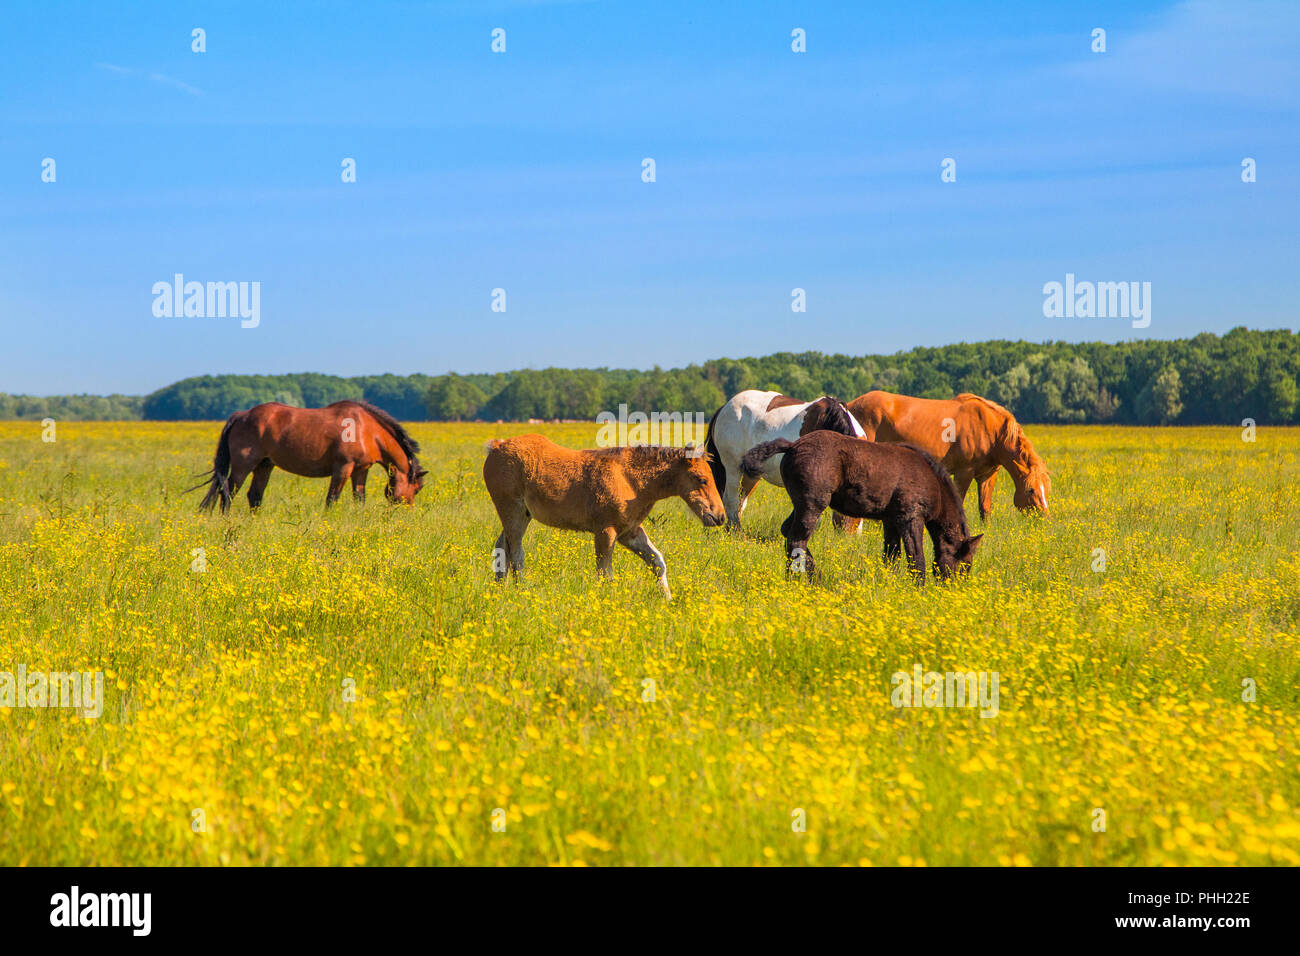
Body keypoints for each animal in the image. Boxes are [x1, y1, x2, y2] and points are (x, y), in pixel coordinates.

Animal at [193, 400, 427, 512]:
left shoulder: (360, 470)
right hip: (243, 466)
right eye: (416, 488)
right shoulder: (342, 468)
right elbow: (332, 499)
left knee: (254, 496)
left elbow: (359, 499)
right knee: (228, 492)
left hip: (264, 465)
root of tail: (242, 415)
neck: (366, 429)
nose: (406, 512)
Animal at [482, 434, 725, 600]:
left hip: (522, 515)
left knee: (502, 547)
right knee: (516, 553)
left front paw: (667, 599)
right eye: (701, 479)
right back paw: (521, 590)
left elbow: (657, 561)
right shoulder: (605, 531)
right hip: (511, 510)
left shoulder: (630, 532)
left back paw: (499, 589)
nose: (719, 517)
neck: (631, 480)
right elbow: (605, 573)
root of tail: (496, 446)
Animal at [703, 389, 867, 530]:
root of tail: (725, 407)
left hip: (750, 474)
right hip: (733, 469)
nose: (851, 536)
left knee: (740, 503)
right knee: (730, 501)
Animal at [741, 431, 983, 584]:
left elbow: (891, 555)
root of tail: (792, 446)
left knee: (788, 534)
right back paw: (807, 579)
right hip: (812, 505)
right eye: (966, 564)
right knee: (796, 540)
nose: (955, 589)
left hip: (801, 504)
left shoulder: (891, 521)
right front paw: (918, 589)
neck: (933, 484)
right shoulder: (910, 518)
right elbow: (916, 557)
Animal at [843, 390, 1050, 522]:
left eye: (1046, 490)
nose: (1045, 518)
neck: (991, 431)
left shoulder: (987, 475)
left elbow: (985, 508)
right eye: (1031, 490)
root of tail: (850, 406)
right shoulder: (964, 472)